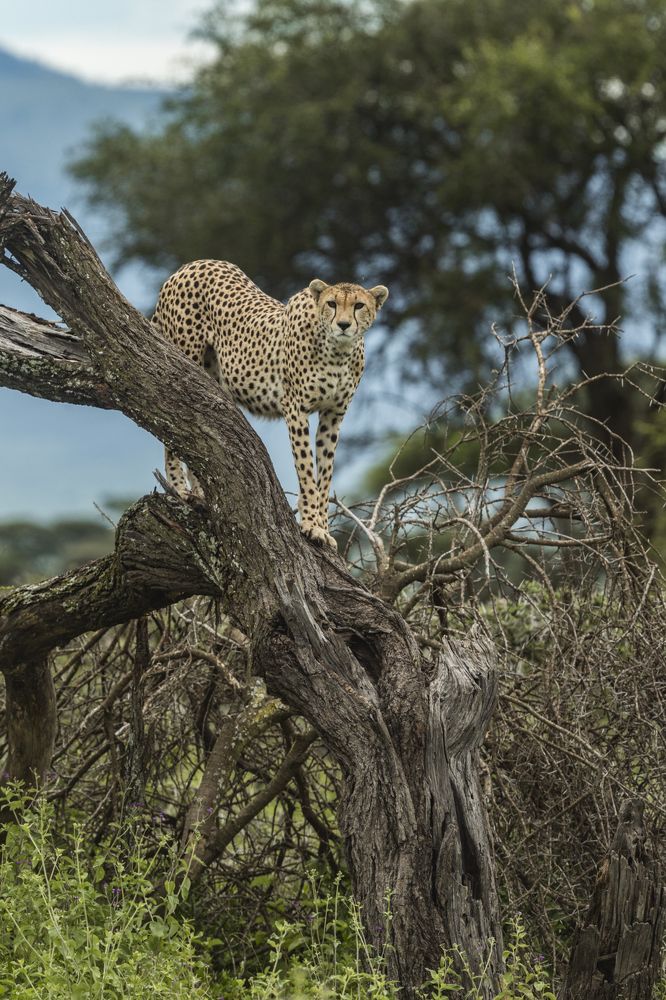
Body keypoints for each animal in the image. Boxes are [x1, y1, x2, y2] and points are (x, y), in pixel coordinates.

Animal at [152, 259, 388, 549]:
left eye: (359, 306)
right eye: (332, 304)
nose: (343, 325)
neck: (338, 352)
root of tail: (191, 265)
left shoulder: (334, 414)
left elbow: (325, 472)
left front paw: (323, 526)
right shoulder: (295, 408)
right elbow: (306, 469)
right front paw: (311, 525)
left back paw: (200, 495)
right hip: (185, 357)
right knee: (171, 422)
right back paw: (179, 488)